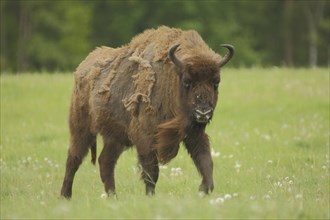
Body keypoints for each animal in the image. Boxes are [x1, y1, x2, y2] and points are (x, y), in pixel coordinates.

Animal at [60, 26, 235, 199]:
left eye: (216, 82)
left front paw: (204, 189)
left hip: (115, 138)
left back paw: (113, 196)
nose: (203, 112)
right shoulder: (145, 137)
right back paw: (65, 195)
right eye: (187, 81)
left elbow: (206, 161)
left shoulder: (194, 134)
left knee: (105, 161)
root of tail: (82, 68)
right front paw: (150, 196)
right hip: (81, 129)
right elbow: (152, 171)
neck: (172, 78)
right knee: (73, 159)